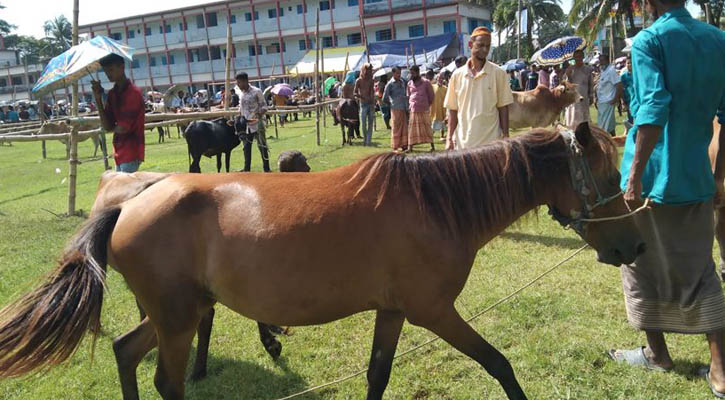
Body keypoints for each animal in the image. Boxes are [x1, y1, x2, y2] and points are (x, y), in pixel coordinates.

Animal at [0, 123, 644, 398]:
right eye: (609, 177)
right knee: (166, 380)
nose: (633, 246)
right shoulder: (434, 311)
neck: (437, 202)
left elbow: (379, 374)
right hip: (179, 319)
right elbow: (500, 365)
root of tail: (129, 201)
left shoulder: (394, 311)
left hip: (172, 314)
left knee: (125, 353)